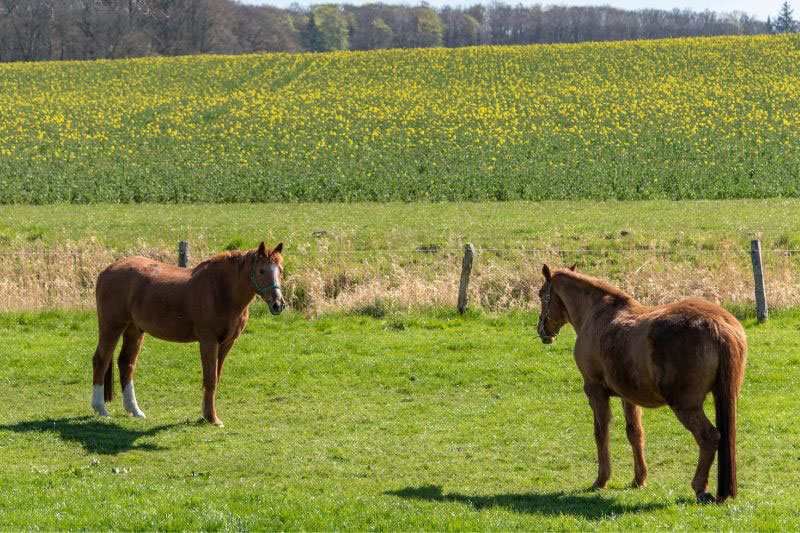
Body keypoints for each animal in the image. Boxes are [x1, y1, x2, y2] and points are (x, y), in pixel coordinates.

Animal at [91, 242, 286, 427]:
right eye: (261, 270)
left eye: (281, 270)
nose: (278, 304)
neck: (221, 289)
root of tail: (106, 271)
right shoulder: (208, 342)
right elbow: (210, 379)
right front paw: (212, 418)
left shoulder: (227, 343)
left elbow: (216, 377)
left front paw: (207, 414)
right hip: (112, 326)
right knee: (101, 360)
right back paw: (101, 409)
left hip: (134, 330)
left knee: (126, 364)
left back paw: (134, 410)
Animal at [536, 264, 747, 503]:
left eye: (542, 295)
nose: (542, 331)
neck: (597, 313)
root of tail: (718, 325)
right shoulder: (628, 396)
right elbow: (634, 433)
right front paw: (639, 479)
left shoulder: (595, 390)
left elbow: (601, 433)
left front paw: (602, 480)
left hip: (686, 406)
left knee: (709, 438)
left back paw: (699, 487)